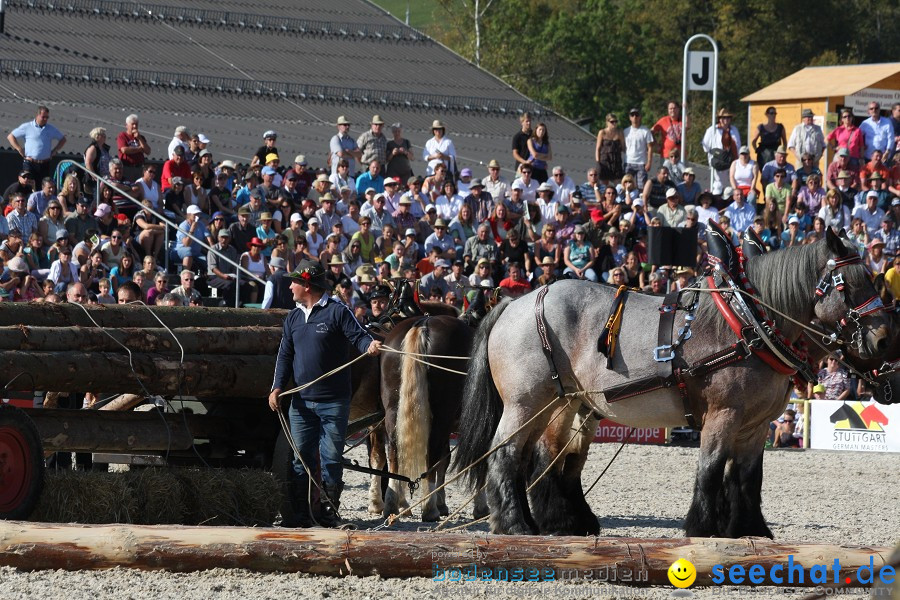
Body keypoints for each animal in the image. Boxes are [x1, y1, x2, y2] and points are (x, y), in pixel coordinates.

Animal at [454, 231, 888, 540]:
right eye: (849, 284)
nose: (885, 338)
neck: (749, 322)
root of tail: (514, 303)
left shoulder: (756, 425)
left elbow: (747, 477)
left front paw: (751, 529)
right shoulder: (723, 414)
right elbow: (711, 467)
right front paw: (703, 526)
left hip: (564, 403)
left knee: (545, 457)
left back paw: (559, 522)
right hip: (527, 402)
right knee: (506, 453)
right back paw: (514, 524)